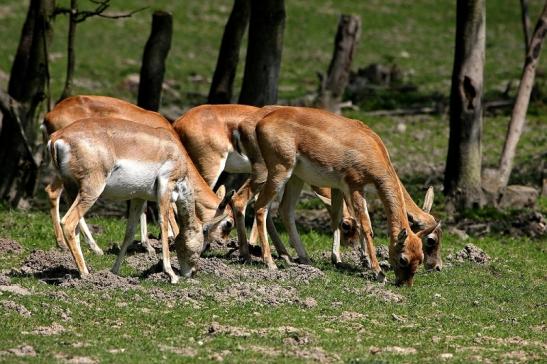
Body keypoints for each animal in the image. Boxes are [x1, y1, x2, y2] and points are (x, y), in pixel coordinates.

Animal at [40, 96, 233, 256]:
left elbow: (144, 208)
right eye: (228, 223)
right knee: (57, 198)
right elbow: (169, 210)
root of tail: (54, 134)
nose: (218, 245)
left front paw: (148, 245)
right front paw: (173, 239)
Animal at [48, 118, 216, 282]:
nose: (193, 272)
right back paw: (85, 274)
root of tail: (57, 137)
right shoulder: (165, 188)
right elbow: (164, 225)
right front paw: (171, 274)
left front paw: (114, 271)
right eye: (202, 238)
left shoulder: (138, 197)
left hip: (72, 190)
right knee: (68, 222)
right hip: (91, 190)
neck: (174, 150)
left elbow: (129, 233)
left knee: (76, 226)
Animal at [250, 106, 438, 286]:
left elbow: (340, 217)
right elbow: (366, 225)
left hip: (296, 177)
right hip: (280, 171)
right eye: (403, 259)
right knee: (260, 207)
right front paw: (378, 272)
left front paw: (349, 261)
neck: (372, 148)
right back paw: (270, 263)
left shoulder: (342, 188)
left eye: (419, 258)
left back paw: (304, 259)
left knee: (285, 210)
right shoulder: (354, 186)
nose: (405, 284)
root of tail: (261, 122)